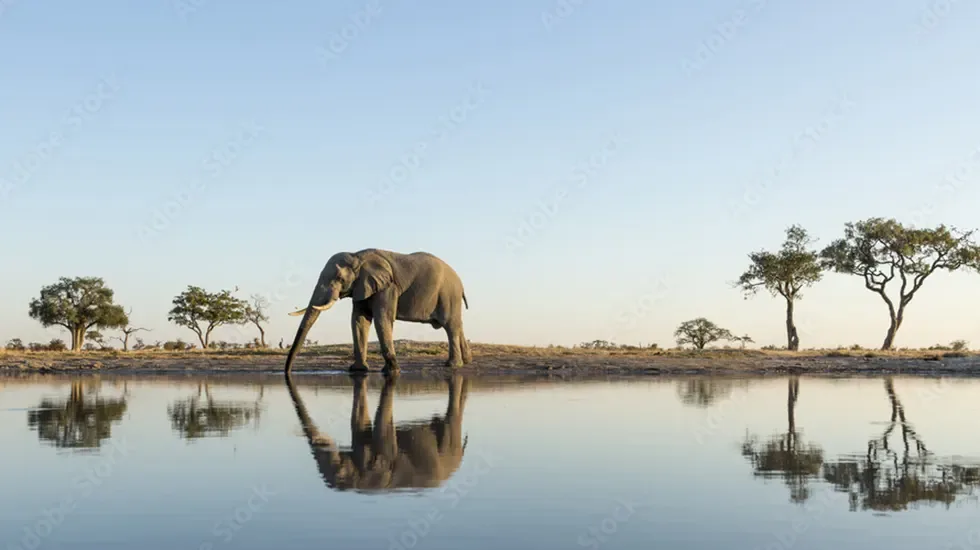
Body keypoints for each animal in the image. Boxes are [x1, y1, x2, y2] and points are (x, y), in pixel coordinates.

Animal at [284, 248, 471, 375]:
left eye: (339, 279)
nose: (287, 373)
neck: (357, 256)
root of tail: (461, 283)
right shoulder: (361, 287)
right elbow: (359, 320)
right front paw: (358, 370)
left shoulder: (387, 287)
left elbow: (382, 319)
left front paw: (392, 371)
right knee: (458, 325)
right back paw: (467, 360)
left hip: (448, 294)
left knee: (450, 326)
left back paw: (453, 365)